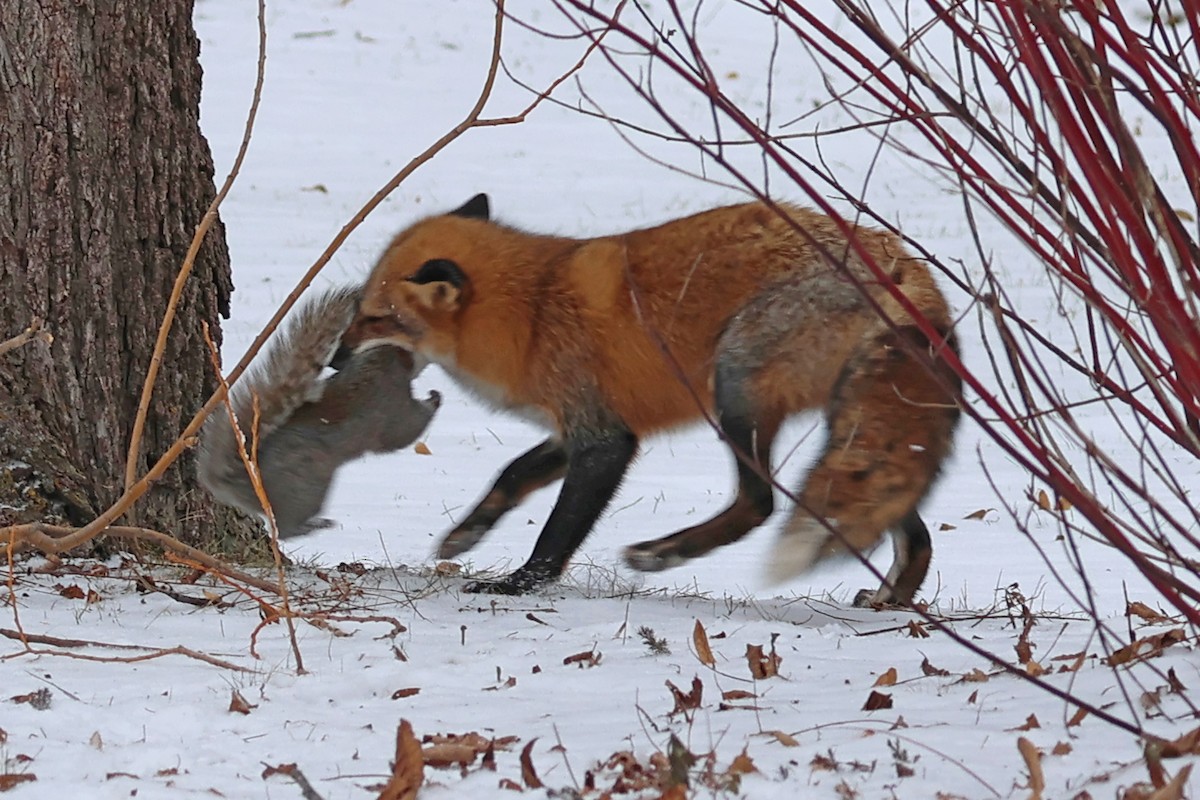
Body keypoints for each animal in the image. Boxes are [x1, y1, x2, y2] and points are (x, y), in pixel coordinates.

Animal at [198, 286, 440, 538]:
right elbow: (405, 431)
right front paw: (434, 399)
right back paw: (314, 525)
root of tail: (238, 481)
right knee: (286, 529)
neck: (385, 352)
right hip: (306, 488)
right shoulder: (392, 402)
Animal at [341, 194, 961, 602]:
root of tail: (903, 262)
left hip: (735, 384)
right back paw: (890, 600)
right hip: (853, 426)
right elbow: (512, 473)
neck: (532, 309)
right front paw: (468, 532)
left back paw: (664, 553)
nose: (333, 358)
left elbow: (557, 531)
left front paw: (518, 585)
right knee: (908, 527)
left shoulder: (606, 440)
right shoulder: (582, 420)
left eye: (374, 318)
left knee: (760, 502)